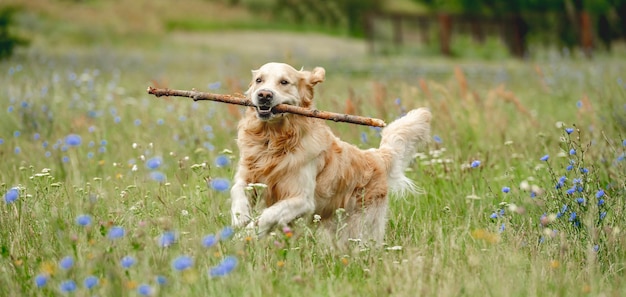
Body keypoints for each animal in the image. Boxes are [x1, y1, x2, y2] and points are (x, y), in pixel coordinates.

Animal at [229, 61, 428, 245]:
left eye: (284, 82)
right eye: (259, 80)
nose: (264, 95)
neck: (272, 140)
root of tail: (376, 156)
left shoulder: (302, 200)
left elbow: (267, 215)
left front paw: (245, 234)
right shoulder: (247, 174)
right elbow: (237, 190)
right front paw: (240, 218)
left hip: (361, 227)